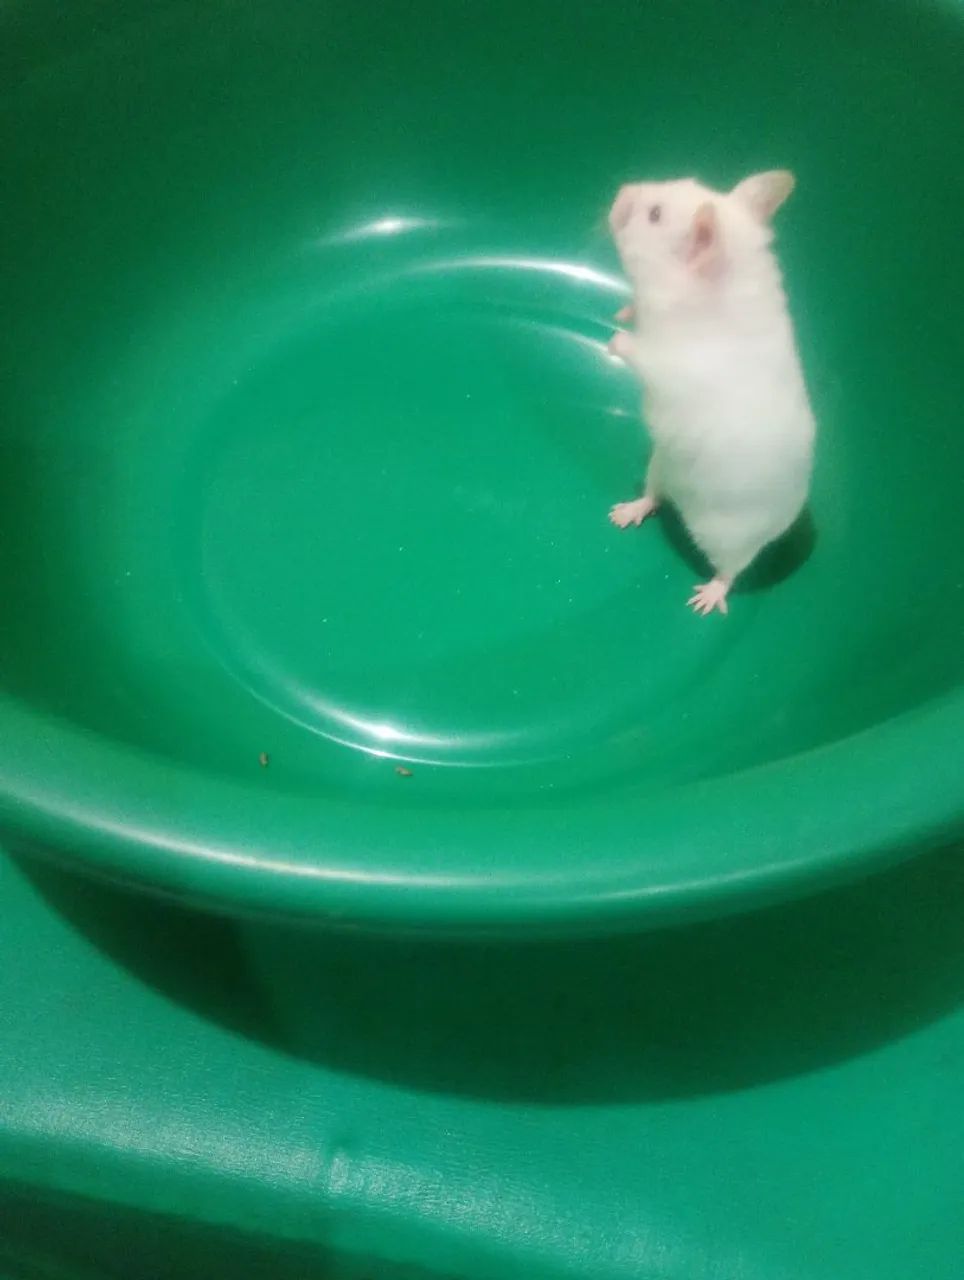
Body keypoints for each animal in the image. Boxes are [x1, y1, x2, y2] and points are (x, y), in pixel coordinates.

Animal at [606, 171, 815, 616]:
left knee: (730, 571)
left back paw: (705, 600)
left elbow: (642, 353)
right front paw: (622, 312)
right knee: (654, 498)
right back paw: (624, 513)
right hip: (660, 466)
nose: (620, 192)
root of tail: (783, 526)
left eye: (654, 215)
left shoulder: (671, 365)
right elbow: (635, 312)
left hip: (727, 540)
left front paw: (614, 340)